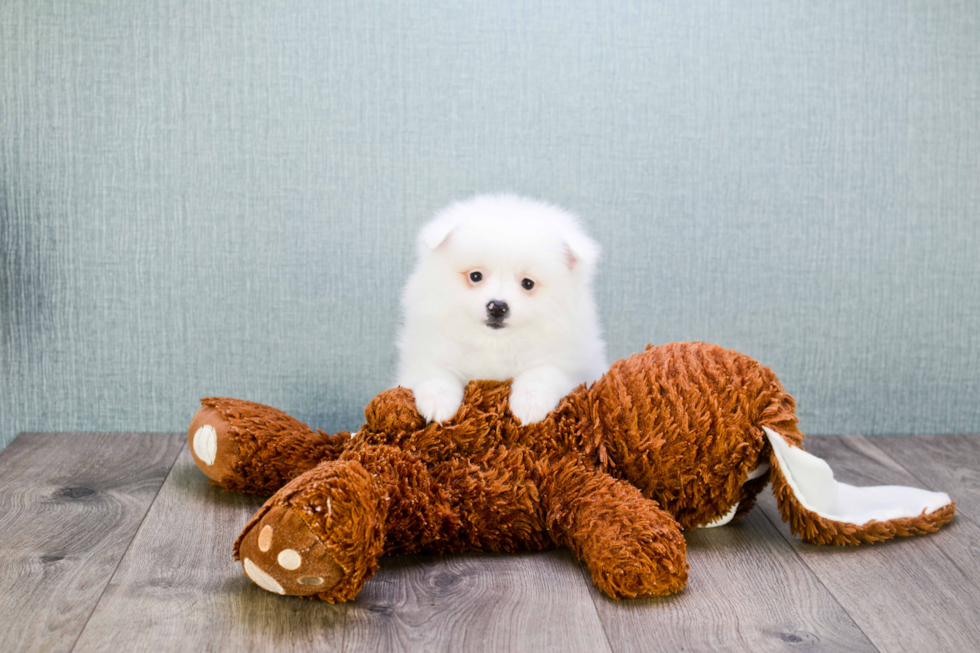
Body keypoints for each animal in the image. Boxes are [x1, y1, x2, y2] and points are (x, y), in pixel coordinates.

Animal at [398, 195, 604, 422]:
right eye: (475, 276)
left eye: (528, 283)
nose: (497, 307)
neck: (494, 344)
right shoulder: (425, 352)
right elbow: (434, 372)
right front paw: (438, 403)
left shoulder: (569, 362)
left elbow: (543, 374)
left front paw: (529, 405)